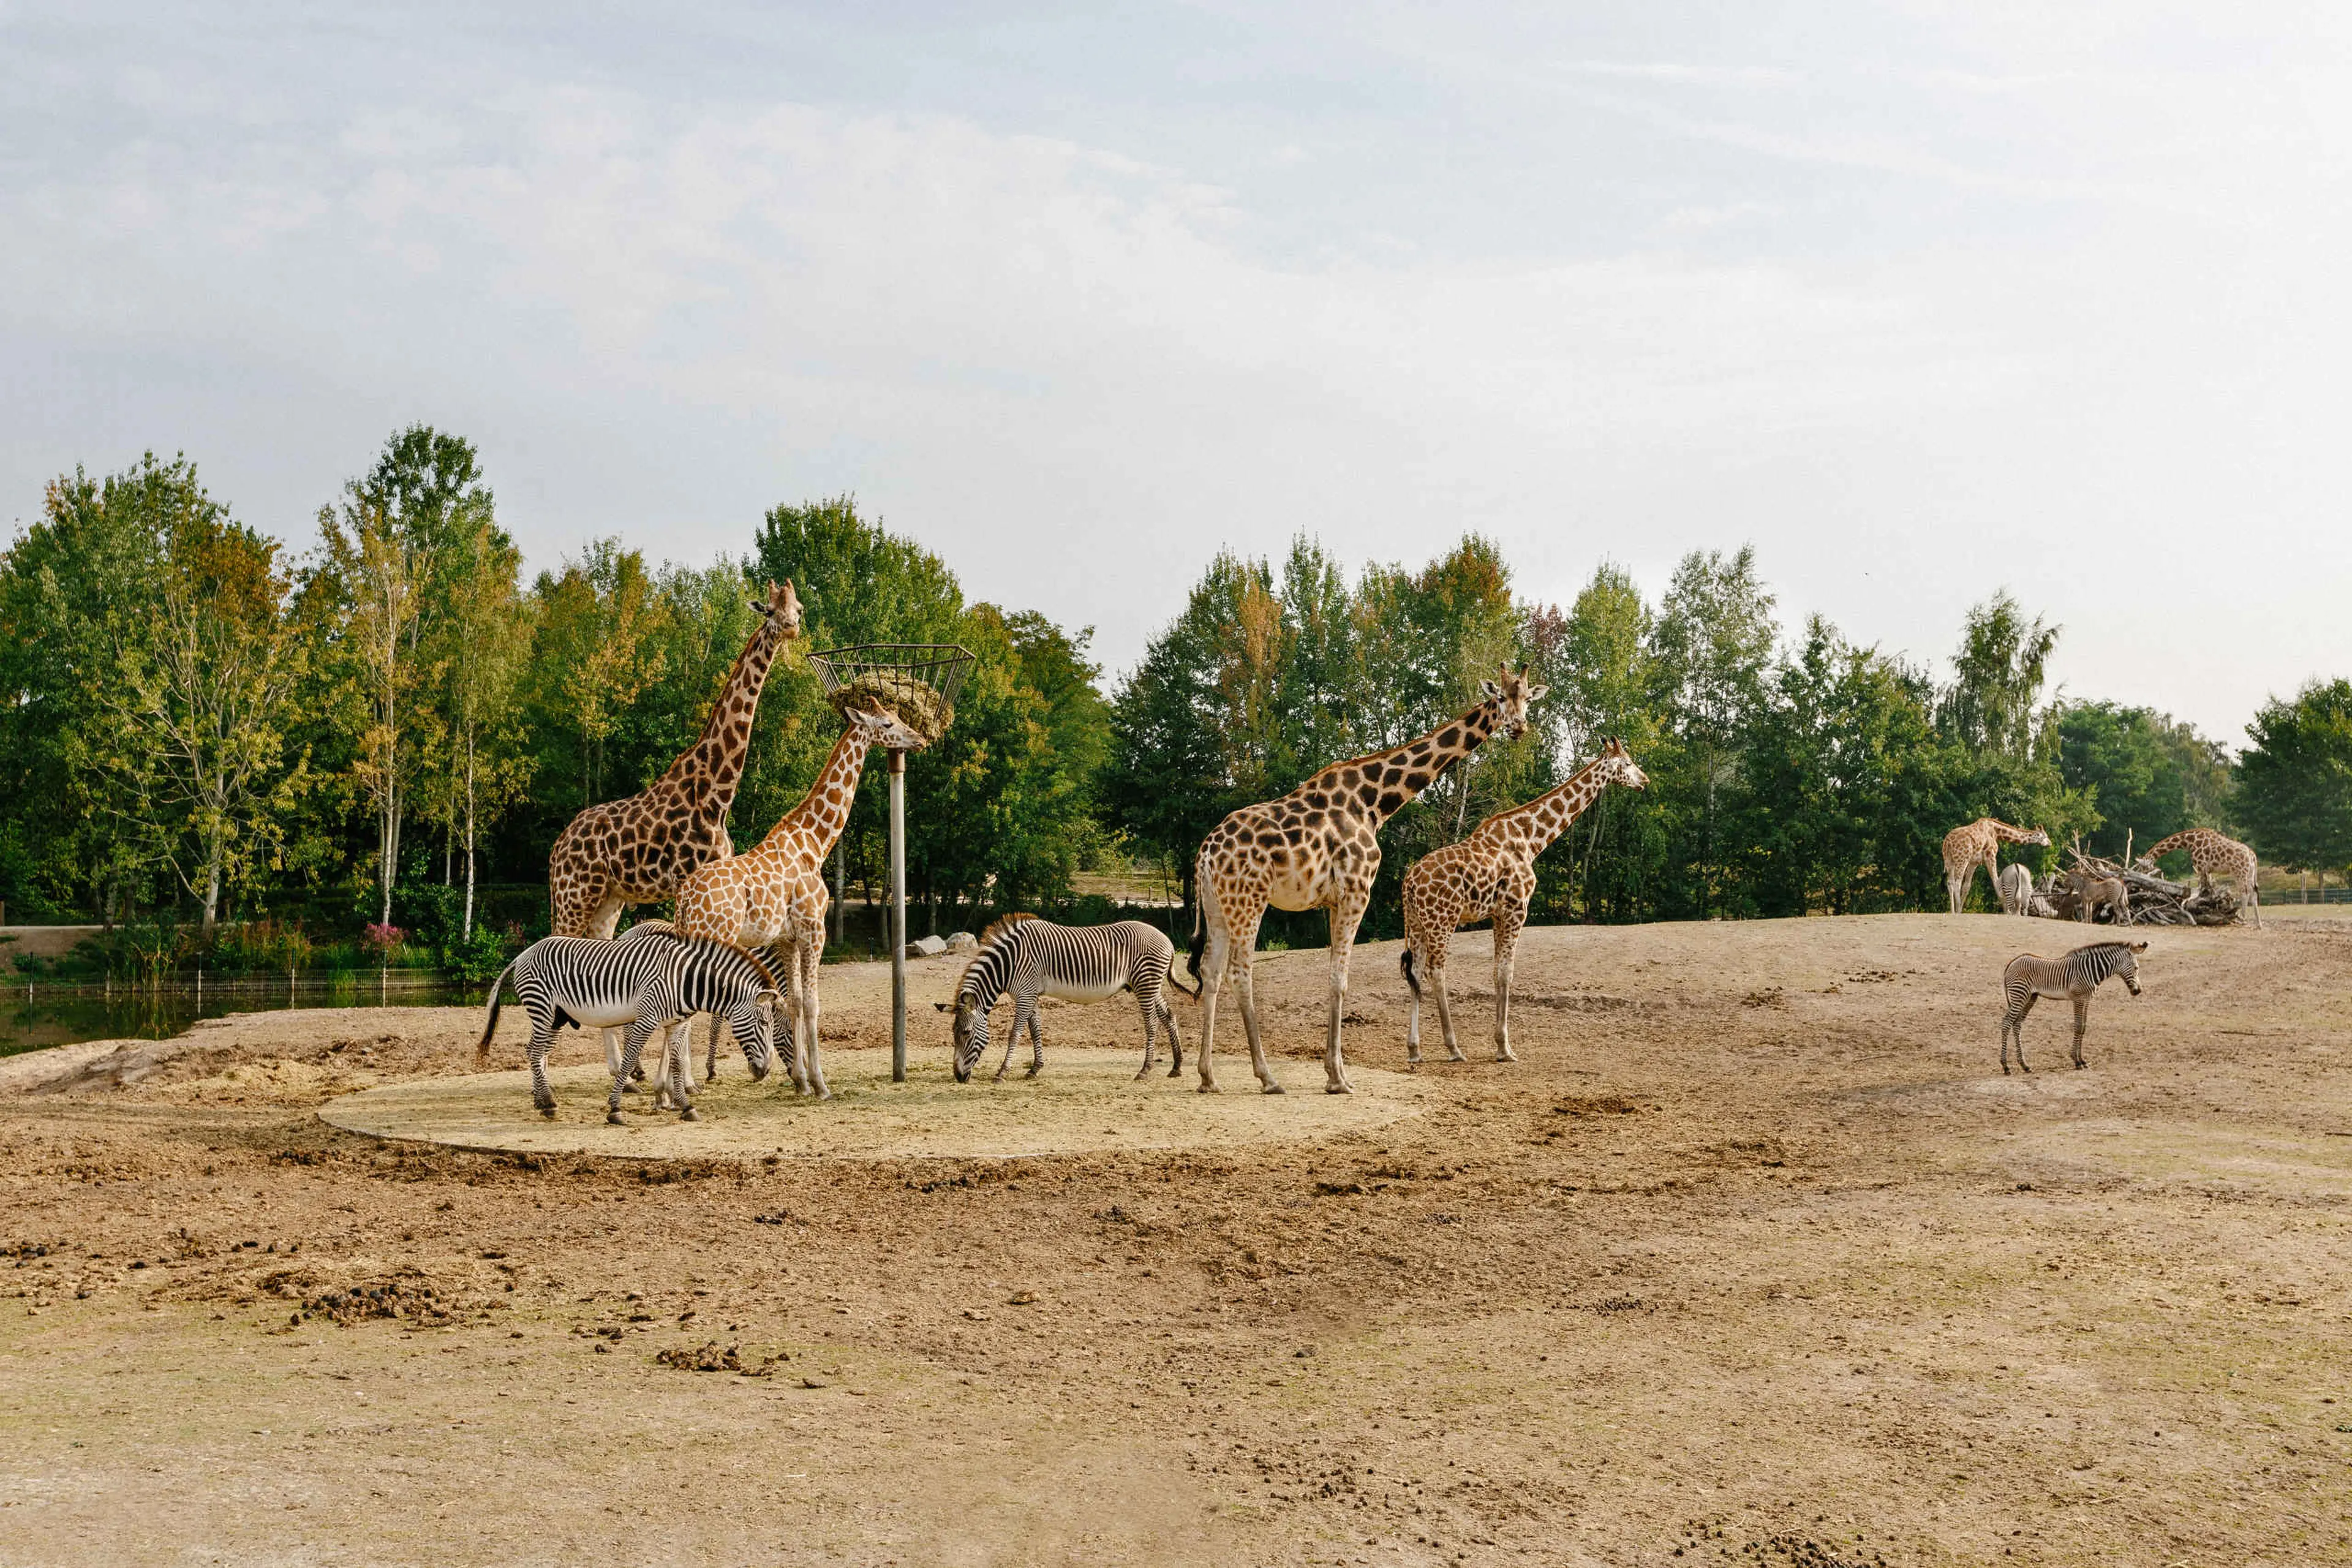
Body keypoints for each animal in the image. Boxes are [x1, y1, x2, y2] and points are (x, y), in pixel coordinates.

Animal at [476, 934, 781, 1121]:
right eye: (764, 1023)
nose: (766, 1071)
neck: (685, 979)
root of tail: (523, 953)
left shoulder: (677, 1024)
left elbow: (677, 1064)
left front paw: (686, 1106)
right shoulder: (646, 1018)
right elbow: (630, 1059)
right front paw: (615, 1108)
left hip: (556, 1017)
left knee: (535, 1052)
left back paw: (542, 1101)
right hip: (543, 1008)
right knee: (535, 1052)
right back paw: (549, 1104)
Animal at [937, 914, 1195, 1084]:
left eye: (966, 1033)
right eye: (952, 1033)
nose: (958, 1076)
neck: (1008, 964)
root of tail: (1167, 940)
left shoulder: (1025, 994)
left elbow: (1015, 1034)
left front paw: (1002, 1073)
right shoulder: (1031, 994)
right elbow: (1035, 1030)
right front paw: (1034, 1069)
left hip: (1145, 984)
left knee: (1152, 1024)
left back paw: (1145, 1070)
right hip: (1149, 985)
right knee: (1169, 1016)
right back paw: (1177, 1066)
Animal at [1998, 940, 2147, 1074]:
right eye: (2136, 968)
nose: (2138, 991)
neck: (2092, 970)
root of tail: (2012, 962)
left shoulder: (2086, 1000)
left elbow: (2083, 1027)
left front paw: (2082, 1060)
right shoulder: (2078, 998)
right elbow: (2078, 1026)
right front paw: (2076, 1061)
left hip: (2030, 997)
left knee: (2017, 1024)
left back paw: (2025, 1065)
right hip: (2019, 995)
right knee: (2006, 1023)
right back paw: (2006, 1066)